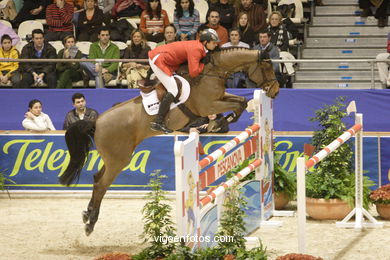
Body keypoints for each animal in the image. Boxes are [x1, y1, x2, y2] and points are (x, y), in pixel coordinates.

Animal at [58, 47, 278, 236]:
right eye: (267, 67)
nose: (275, 91)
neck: (211, 72)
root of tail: (97, 121)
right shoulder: (209, 105)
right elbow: (238, 104)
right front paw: (221, 121)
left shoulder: (221, 97)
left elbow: (241, 101)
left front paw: (223, 121)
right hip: (119, 160)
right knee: (102, 184)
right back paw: (91, 222)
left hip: (114, 158)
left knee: (97, 178)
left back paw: (87, 214)